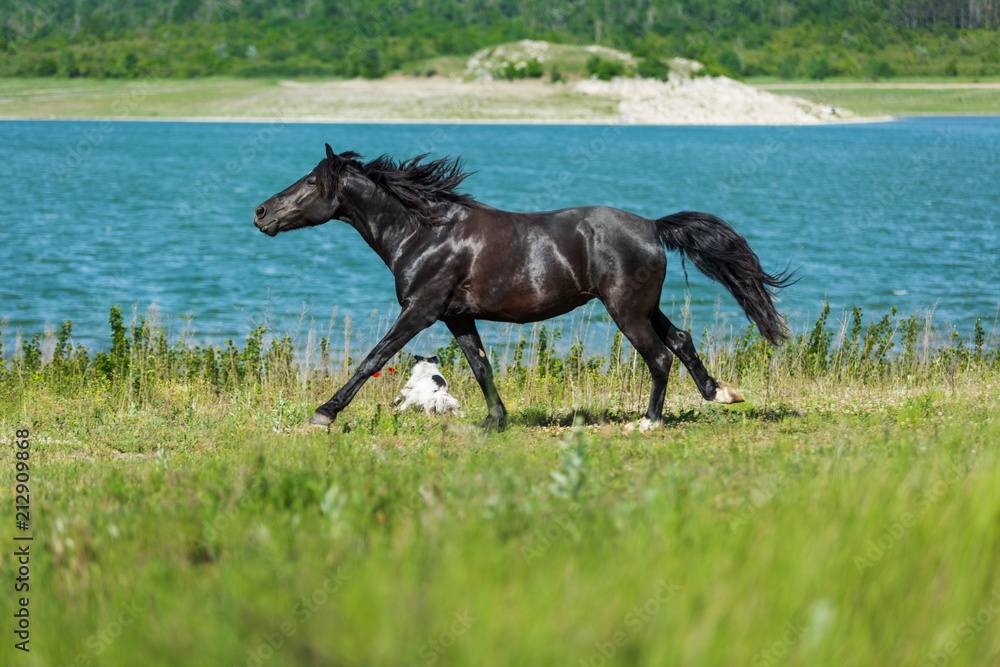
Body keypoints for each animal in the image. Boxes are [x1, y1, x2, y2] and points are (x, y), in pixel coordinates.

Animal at [254, 144, 792, 430]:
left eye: (309, 182)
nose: (261, 213)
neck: (424, 233)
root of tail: (653, 227)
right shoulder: (456, 315)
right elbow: (480, 366)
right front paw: (496, 419)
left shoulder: (422, 310)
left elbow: (373, 358)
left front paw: (324, 413)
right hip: (643, 305)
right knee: (680, 340)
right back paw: (720, 393)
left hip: (625, 309)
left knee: (659, 356)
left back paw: (649, 420)